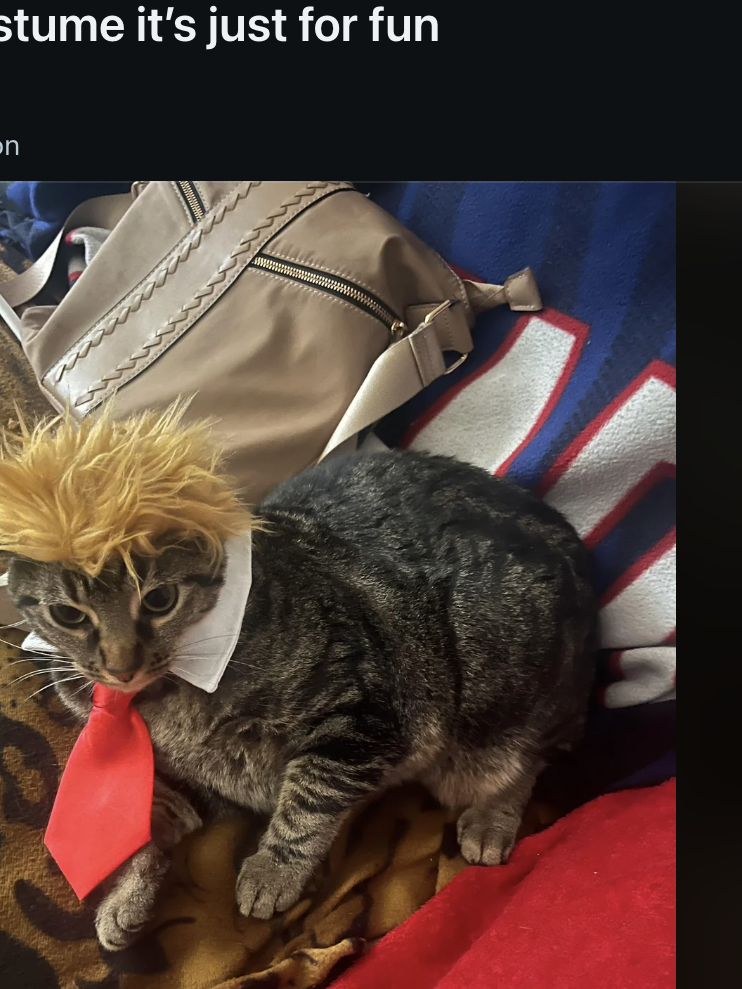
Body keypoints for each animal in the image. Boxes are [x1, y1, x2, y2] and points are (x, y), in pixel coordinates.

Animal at [1, 430, 600, 948]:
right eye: (68, 615)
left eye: (159, 600)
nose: (121, 666)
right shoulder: (193, 782)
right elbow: (139, 822)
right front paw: (124, 898)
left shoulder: (358, 713)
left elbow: (308, 799)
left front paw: (271, 872)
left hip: (500, 682)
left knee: (533, 755)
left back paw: (491, 819)